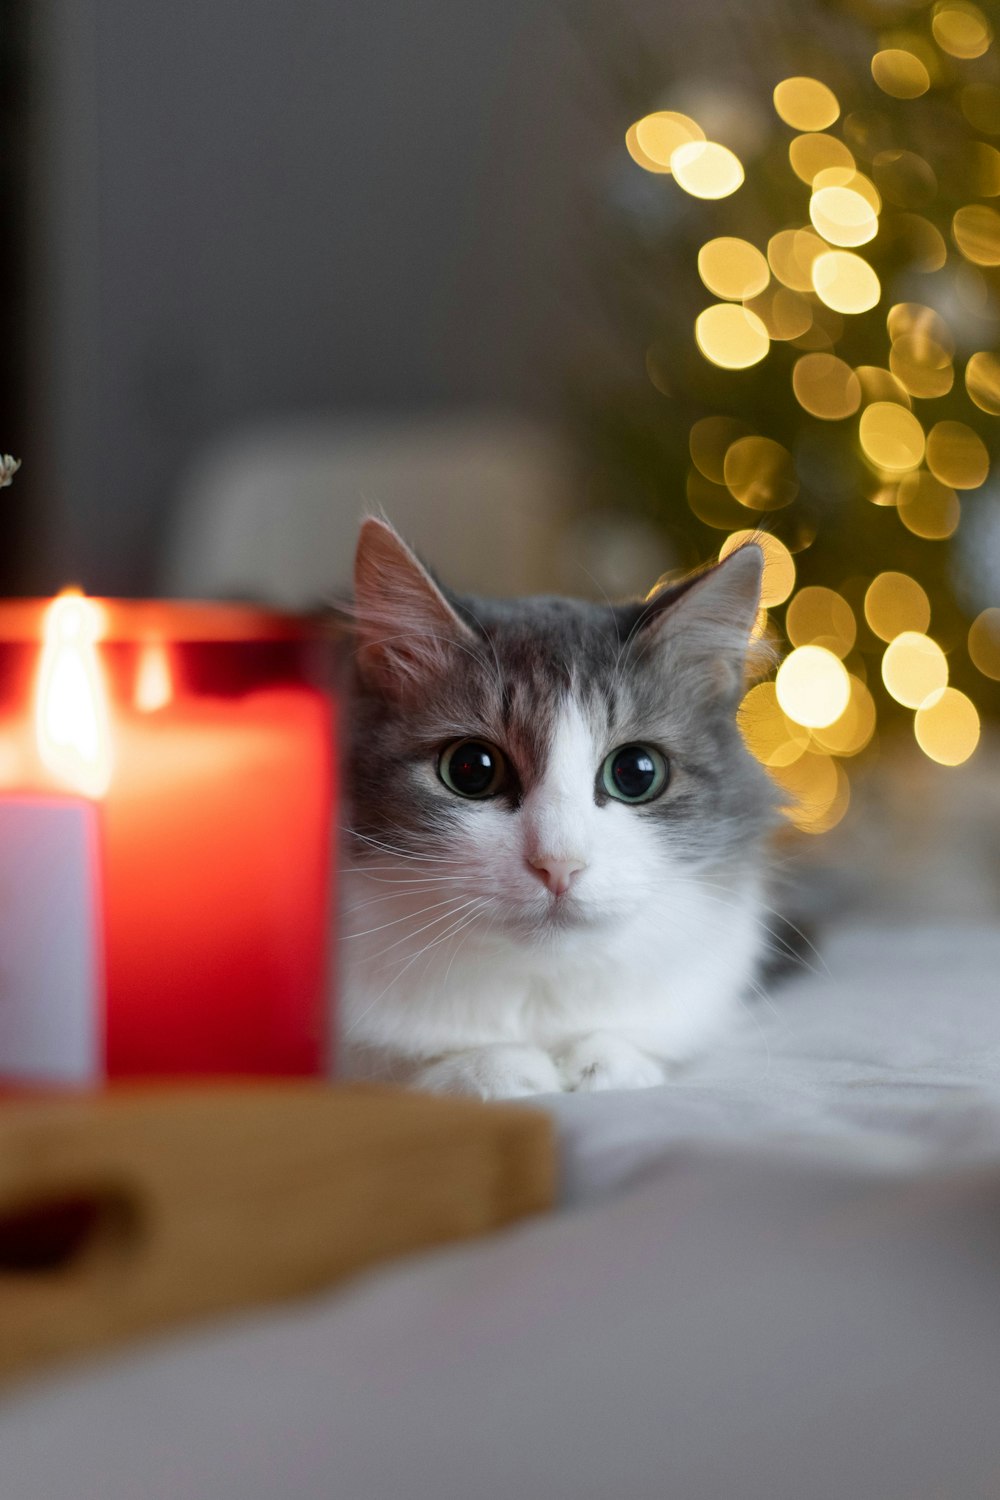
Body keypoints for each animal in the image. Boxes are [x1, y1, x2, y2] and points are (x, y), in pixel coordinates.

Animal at [340, 519, 779, 1104]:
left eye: (636, 772)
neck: (536, 989)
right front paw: (494, 1068)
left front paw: (609, 1062)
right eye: (471, 769)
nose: (558, 865)